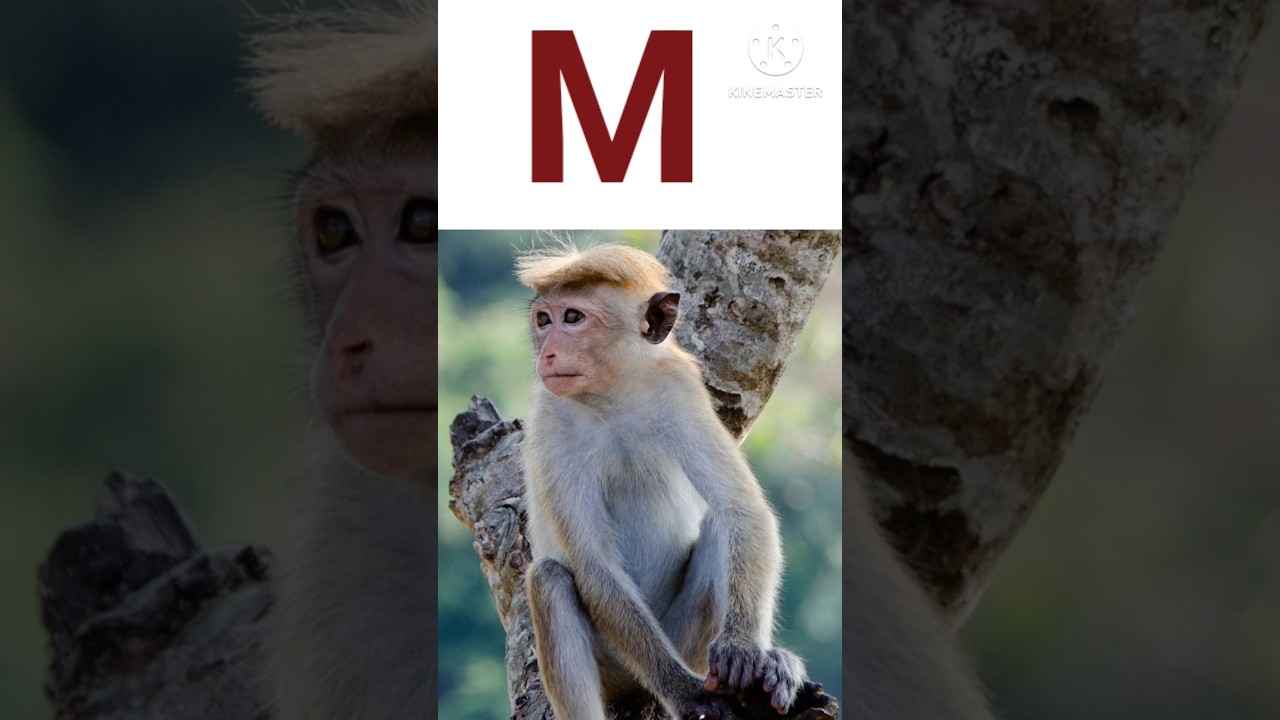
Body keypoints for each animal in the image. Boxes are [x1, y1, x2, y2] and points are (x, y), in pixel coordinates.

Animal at [517, 243, 807, 720]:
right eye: (544, 320)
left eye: (572, 318)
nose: (548, 355)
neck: (613, 397)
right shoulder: (549, 423)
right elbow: (594, 564)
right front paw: (685, 692)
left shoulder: (679, 390)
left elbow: (741, 509)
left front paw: (745, 649)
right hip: (618, 666)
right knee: (550, 581)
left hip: (687, 641)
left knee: (720, 526)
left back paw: (772, 665)